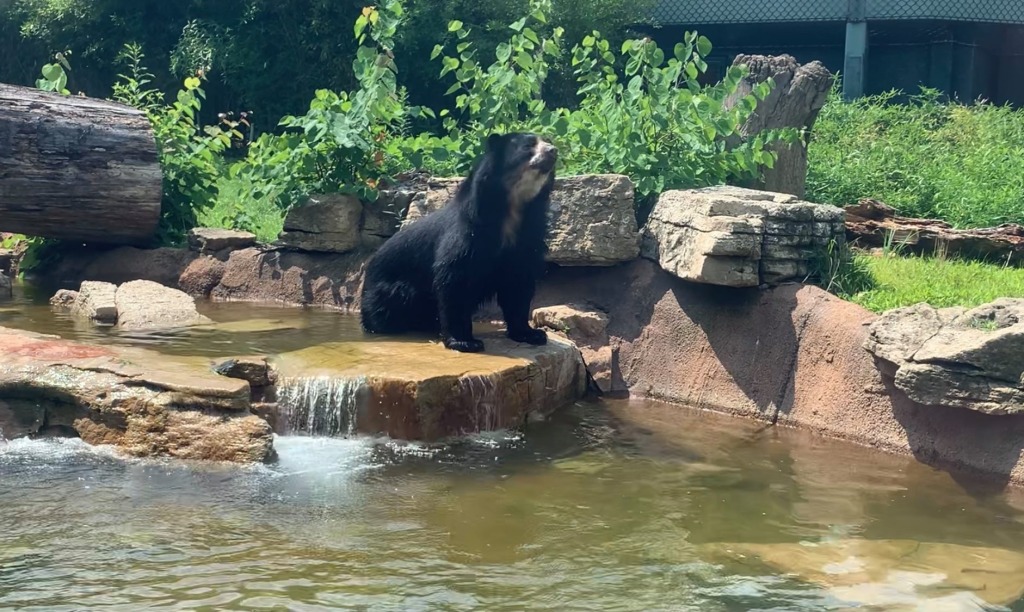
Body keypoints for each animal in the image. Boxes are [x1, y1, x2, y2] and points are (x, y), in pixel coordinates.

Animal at [356, 132, 557, 352]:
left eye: (548, 141)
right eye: (528, 145)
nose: (553, 151)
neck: (513, 208)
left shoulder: (526, 239)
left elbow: (518, 285)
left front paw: (532, 334)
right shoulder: (467, 234)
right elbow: (455, 280)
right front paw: (465, 342)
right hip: (389, 291)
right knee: (390, 306)